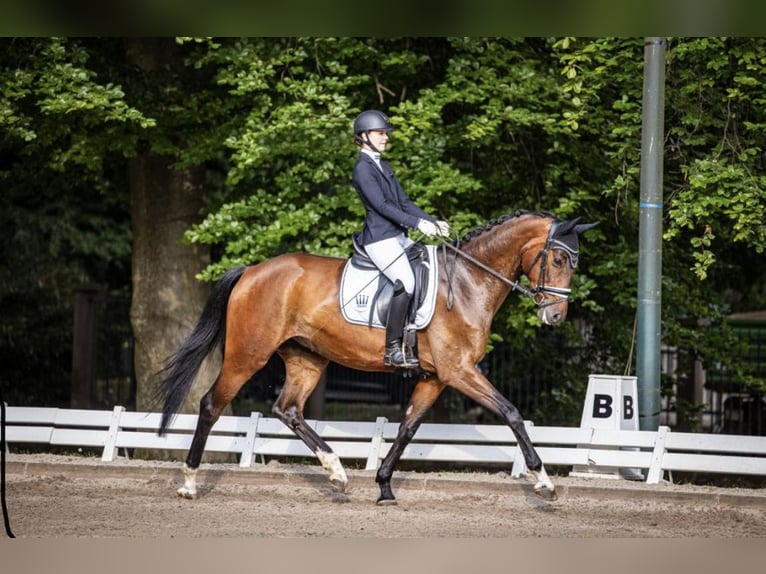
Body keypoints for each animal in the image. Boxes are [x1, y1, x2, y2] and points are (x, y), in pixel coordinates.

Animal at [158, 210, 600, 504]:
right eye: (558, 259)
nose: (555, 316)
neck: (468, 282)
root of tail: (252, 270)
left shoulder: (435, 377)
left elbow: (408, 428)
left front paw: (385, 485)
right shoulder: (460, 371)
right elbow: (511, 413)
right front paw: (543, 481)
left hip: (306, 359)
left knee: (288, 409)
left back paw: (336, 472)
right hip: (247, 354)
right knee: (211, 405)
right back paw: (189, 482)